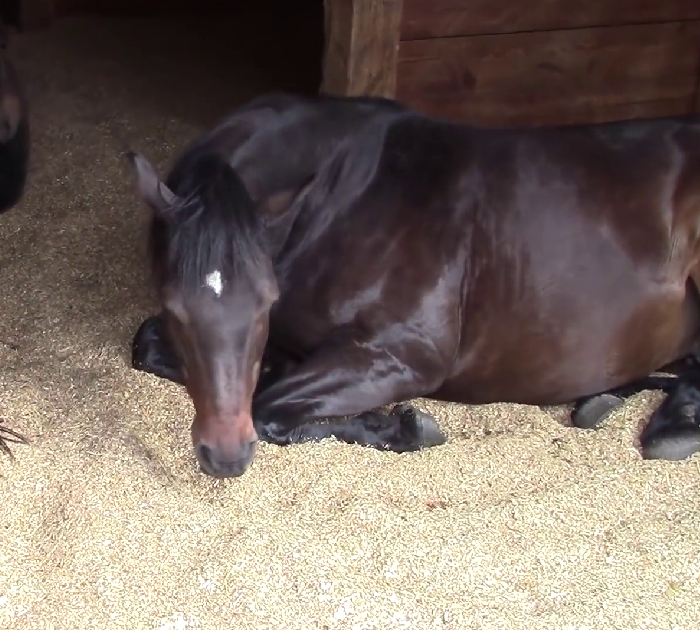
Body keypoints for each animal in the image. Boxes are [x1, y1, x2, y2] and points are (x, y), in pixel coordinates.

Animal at [127, 92, 700, 478]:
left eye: (265, 302)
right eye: (175, 306)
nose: (225, 455)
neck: (343, 199)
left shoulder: (406, 356)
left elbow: (268, 405)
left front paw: (403, 427)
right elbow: (148, 346)